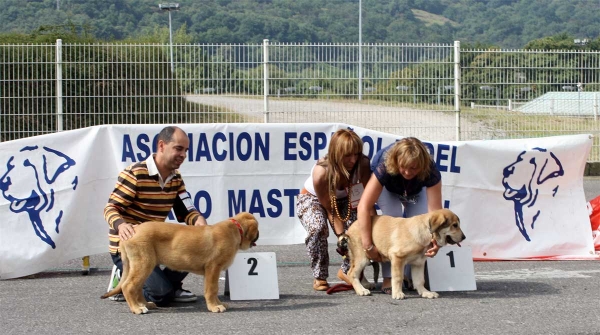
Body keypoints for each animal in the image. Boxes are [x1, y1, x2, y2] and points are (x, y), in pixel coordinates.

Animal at [100, 213, 258, 316]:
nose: (258, 235)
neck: (235, 228)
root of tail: (131, 231)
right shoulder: (213, 267)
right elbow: (212, 289)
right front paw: (215, 307)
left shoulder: (210, 271)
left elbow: (211, 289)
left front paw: (218, 303)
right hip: (143, 263)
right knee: (128, 286)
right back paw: (137, 308)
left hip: (143, 266)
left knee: (136, 287)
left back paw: (144, 304)